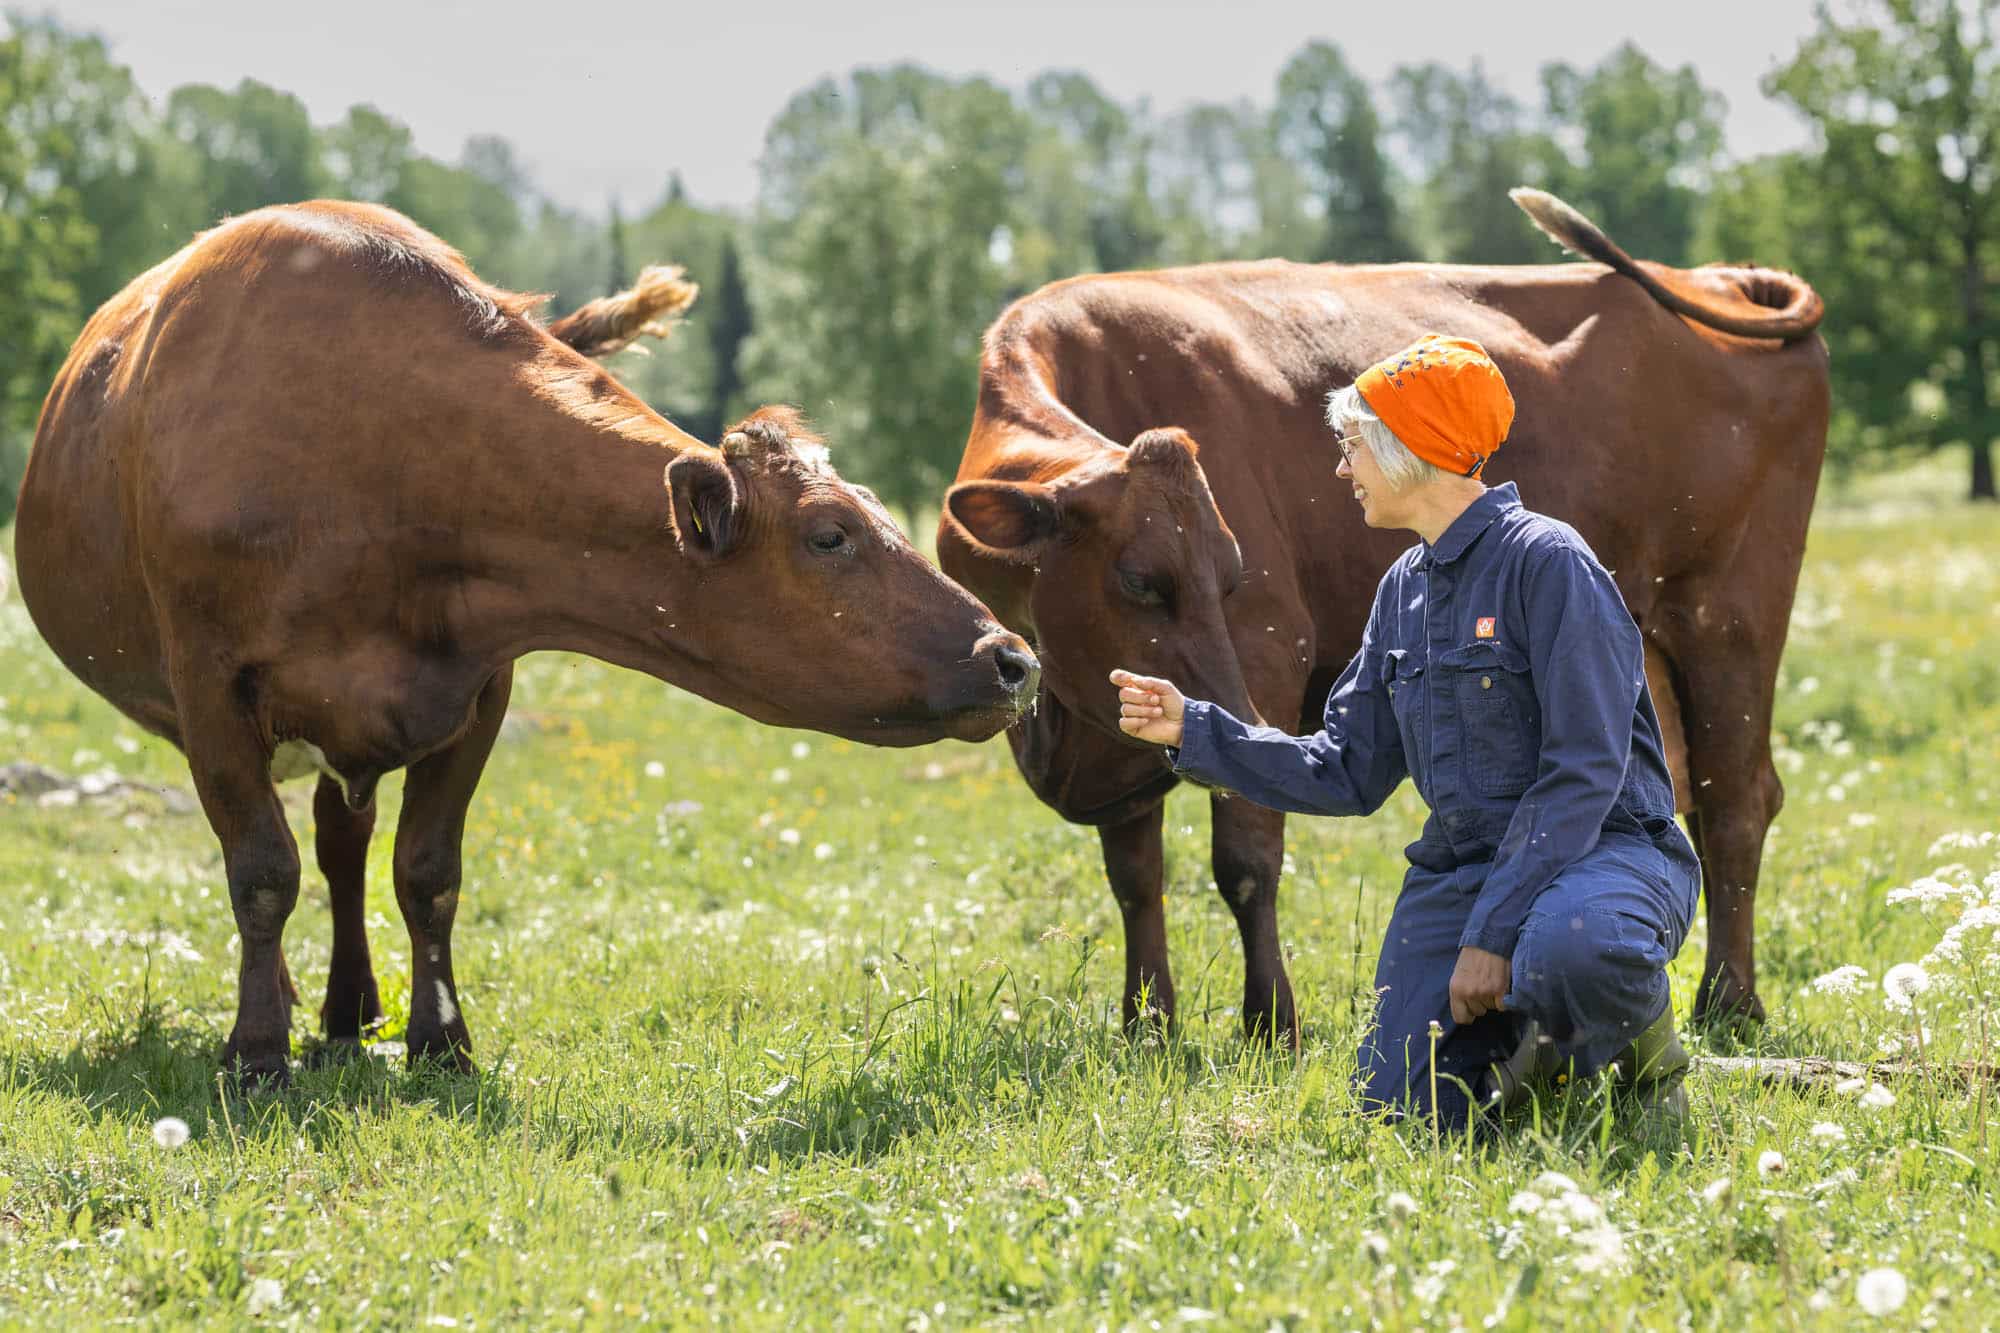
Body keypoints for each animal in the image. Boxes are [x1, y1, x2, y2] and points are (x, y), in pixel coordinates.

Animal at [19, 202, 1048, 1088]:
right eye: (830, 533)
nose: (1013, 658)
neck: (377, 452)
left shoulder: (479, 686)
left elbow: (427, 875)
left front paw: (441, 1042)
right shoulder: (210, 689)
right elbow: (262, 874)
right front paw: (257, 1051)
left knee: (344, 841)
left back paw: (351, 1010)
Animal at [940, 189, 1832, 1040]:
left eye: (1230, 575)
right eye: (1138, 580)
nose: (1214, 707)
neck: (1059, 724)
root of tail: (1718, 277)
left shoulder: (1266, 647)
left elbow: (1247, 853)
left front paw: (1273, 1024)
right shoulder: (1111, 725)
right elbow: (1135, 876)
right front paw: (1148, 1027)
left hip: (1731, 613)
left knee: (1735, 797)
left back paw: (1731, 1001)